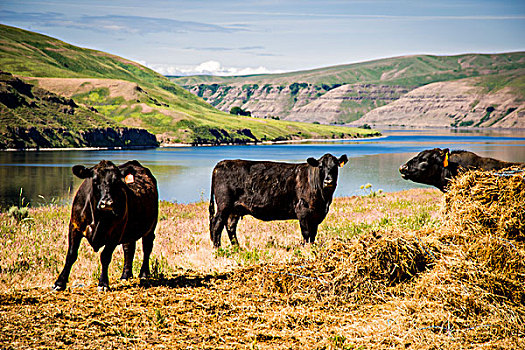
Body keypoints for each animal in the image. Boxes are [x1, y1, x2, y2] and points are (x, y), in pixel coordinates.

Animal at [54, 160, 160, 292]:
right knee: (129, 248)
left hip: (150, 227)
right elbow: (71, 254)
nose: (107, 203)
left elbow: (105, 257)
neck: (97, 217)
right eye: (94, 180)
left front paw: (103, 283)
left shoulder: (115, 233)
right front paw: (60, 282)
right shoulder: (74, 227)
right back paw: (126, 275)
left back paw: (144, 274)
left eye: (117, 181)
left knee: (147, 247)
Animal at [209, 154, 348, 249]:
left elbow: (313, 234)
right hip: (224, 206)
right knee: (217, 224)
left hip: (235, 209)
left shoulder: (317, 215)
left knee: (230, 226)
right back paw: (218, 249)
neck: (323, 199)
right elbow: (306, 233)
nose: (328, 180)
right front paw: (305, 248)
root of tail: (220, 164)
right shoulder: (303, 212)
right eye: (320, 166)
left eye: (335, 166)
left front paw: (312, 247)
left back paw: (237, 248)